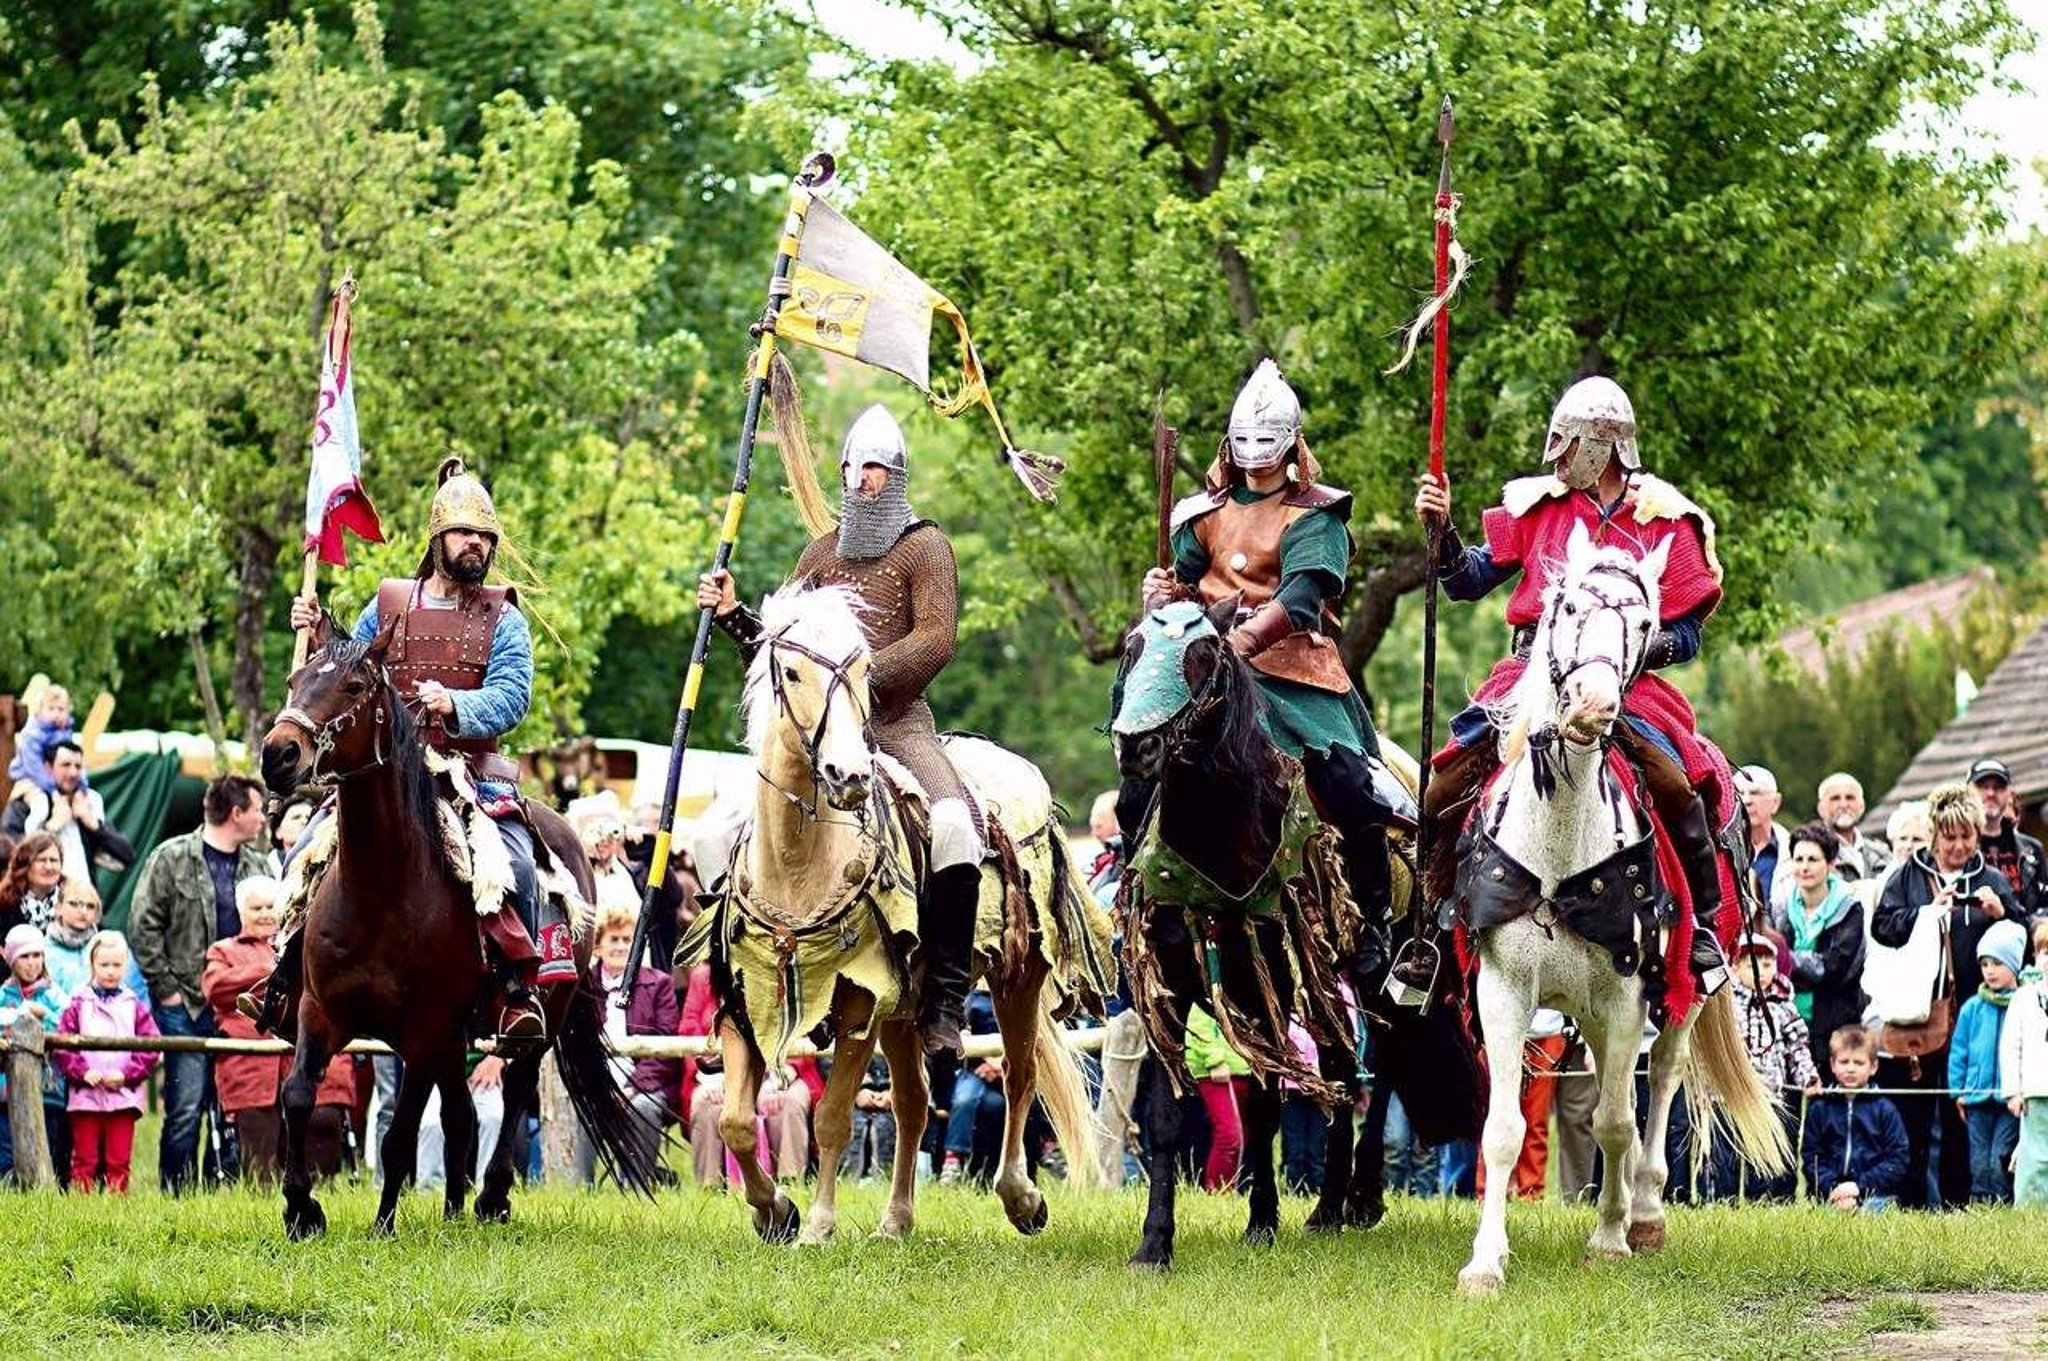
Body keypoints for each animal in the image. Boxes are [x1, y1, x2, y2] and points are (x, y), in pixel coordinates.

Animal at [256, 622, 655, 1236]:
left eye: (353, 687)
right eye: (295, 680)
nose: (278, 754)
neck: (381, 889)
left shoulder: (424, 1033)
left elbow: (399, 1137)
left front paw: (383, 1224)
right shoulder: (320, 1012)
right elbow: (298, 1095)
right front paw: (302, 1209)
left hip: (536, 1019)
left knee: (513, 1091)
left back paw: (490, 1197)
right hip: (452, 1039)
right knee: (461, 1113)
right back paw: (453, 1209)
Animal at [700, 585, 1122, 1244]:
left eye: (862, 673)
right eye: (791, 672)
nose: (847, 775)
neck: (797, 866)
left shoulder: (857, 1004)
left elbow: (832, 1116)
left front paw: (817, 1224)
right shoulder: (749, 998)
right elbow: (737, 1122)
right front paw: (775, 1211)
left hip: (1017, 976)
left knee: (1019, 1074)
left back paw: (1021, 1197)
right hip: (904, 1006)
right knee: (914, 1103)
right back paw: (896, 1220)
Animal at [1105, 601, 1474, 1268]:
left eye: (1203, 656)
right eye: (1132, 648)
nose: (1138, 745)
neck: (1220, 831)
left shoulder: (1273, 972)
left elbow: (1272, 1104)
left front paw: (1265, 1218)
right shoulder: (1184, 985)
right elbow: (1181, 1114)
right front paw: (1158, 1242)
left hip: (1380, 974)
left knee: (1374, 1074)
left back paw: (1352, 1199)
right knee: (1335, 1072)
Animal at [1449, 521, 1785, 1293]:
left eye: (1644, 624)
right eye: (1569, 606)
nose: (1594, 707)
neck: (1558, 841)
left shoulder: (1629, 995)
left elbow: (1613, 1121)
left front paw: (1609, 1238)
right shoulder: (1502, 990)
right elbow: (1502, 1130)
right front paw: (1485, 1262)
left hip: (1678, 993)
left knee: (1655, 1082)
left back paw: (1645, 1209)